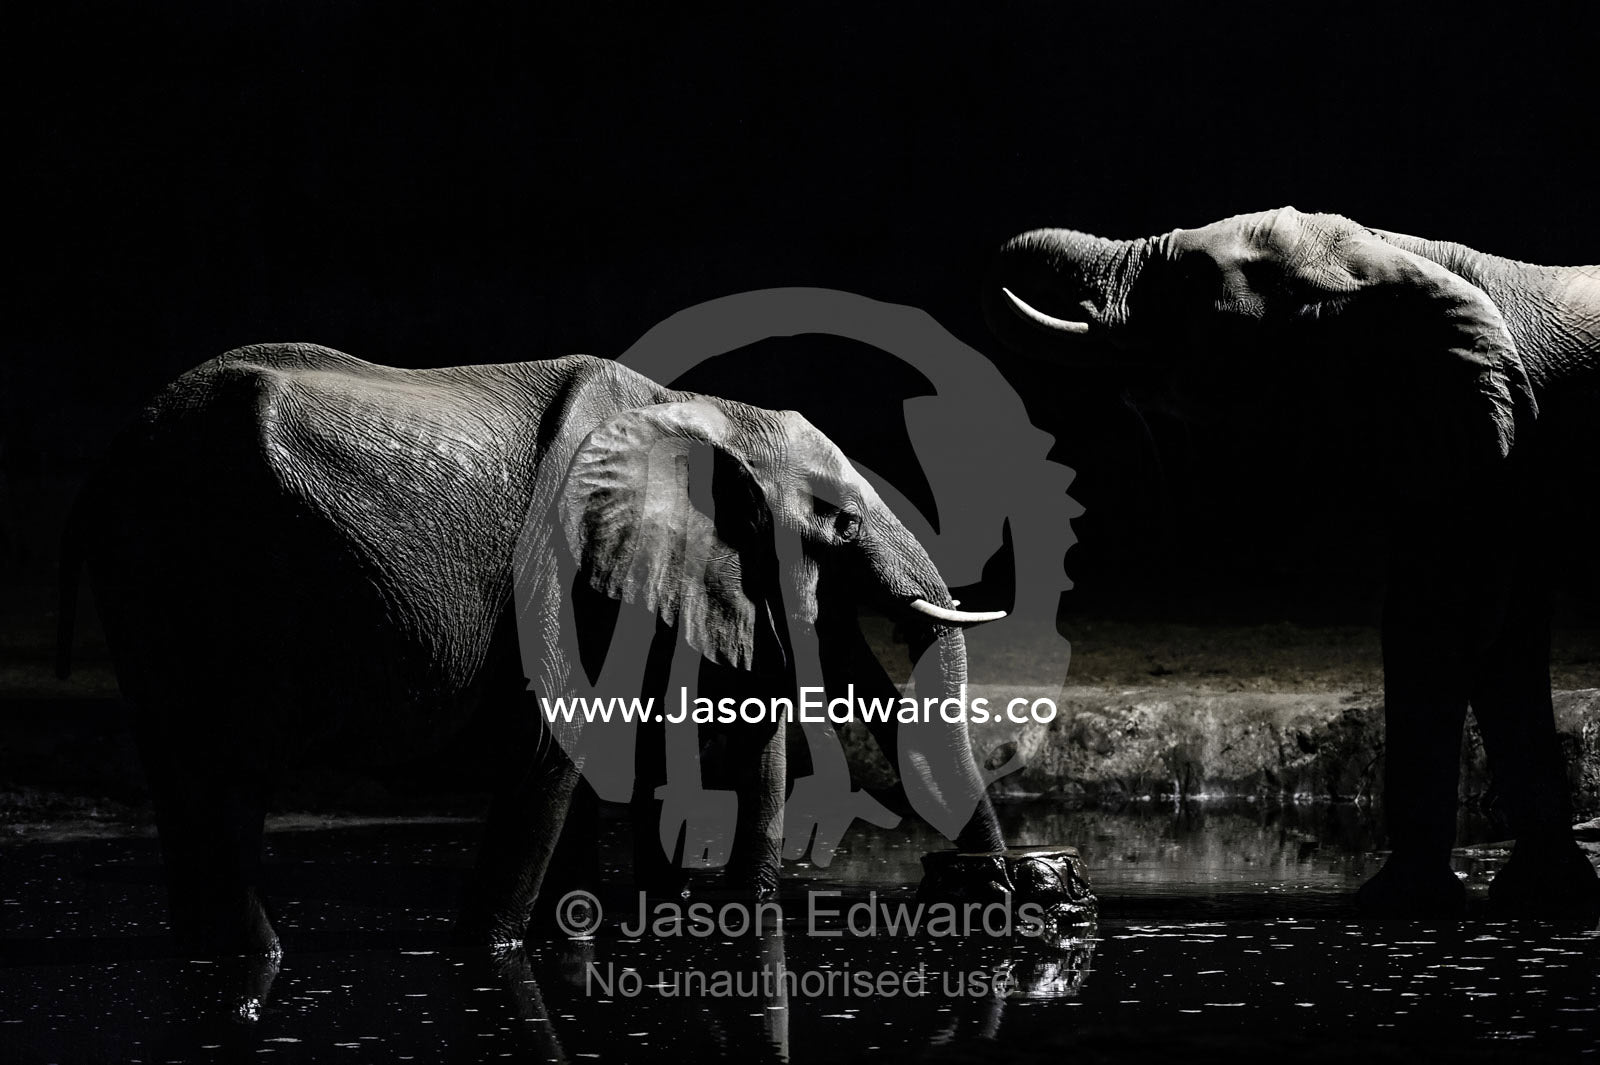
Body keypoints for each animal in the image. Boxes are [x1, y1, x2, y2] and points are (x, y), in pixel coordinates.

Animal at [56, 344, 1009, 955]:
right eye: (840, 526)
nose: (997, 888)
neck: (705, 415)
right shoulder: (563, 560)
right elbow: (554, 750)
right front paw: (494, 952)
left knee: (196, 780)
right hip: (201, 570)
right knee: (218, 777)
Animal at [985, 206, 1599, 916]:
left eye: (1190, 280)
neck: (1396, 254)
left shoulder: (1492, 446)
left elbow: (1433, 624)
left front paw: (1393, 903)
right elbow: (1507, 640)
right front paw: (1545, 893)